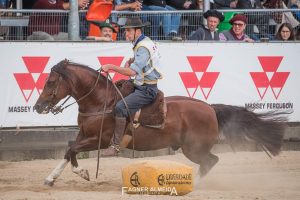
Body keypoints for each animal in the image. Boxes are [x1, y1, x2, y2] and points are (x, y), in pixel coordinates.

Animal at [34, 59, 288, 186]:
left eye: (50, 82)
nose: (38, 106)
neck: (101, 101)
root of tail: (210, 108)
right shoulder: (83, 134)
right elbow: (69, 151)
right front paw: (51, 178)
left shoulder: (100, 140)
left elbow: (73, 151)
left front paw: (82, 173)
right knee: (210, 162)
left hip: (194, 149)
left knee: (210, 161)